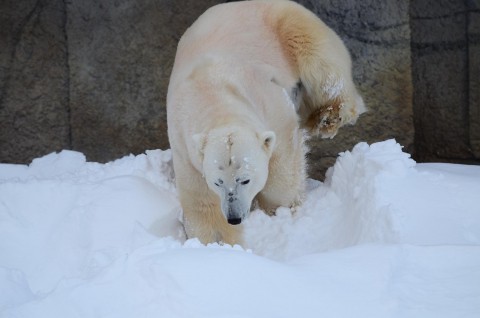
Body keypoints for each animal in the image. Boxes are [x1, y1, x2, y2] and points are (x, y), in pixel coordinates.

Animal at [167, 0, 366, 246]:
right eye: (218, 182)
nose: (234, 217)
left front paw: (279, 210)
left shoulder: (266, 100)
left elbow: (284, 157)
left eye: (245, 180)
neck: (212, 97)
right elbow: (202, 204)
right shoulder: (185, 147)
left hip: (286, 25)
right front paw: (218, 244)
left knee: (320, 62)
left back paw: (327, 117)